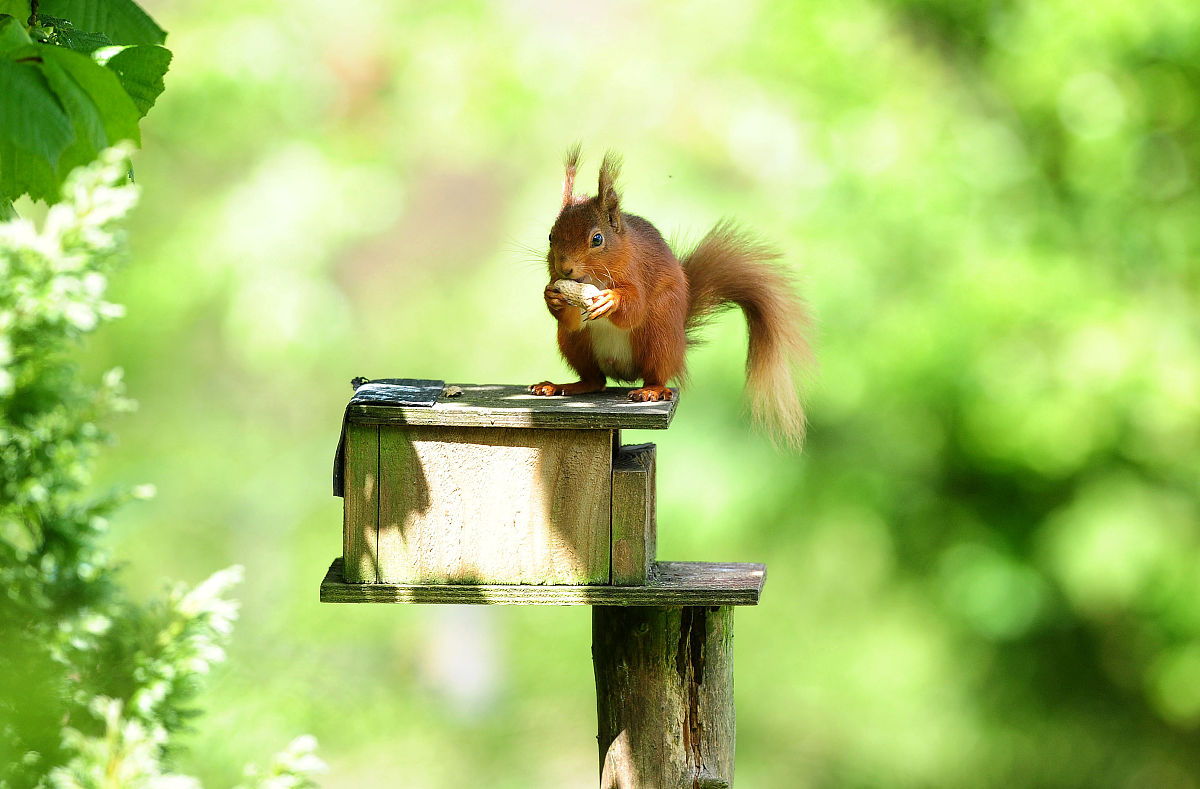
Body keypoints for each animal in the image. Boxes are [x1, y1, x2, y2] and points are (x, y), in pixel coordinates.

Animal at [530, 147, 811, 441]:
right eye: (550, 236)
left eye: (597, 239)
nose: (564, 268)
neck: (593, 278)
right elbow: (571, 320)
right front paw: (552, 297)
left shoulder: (638, 272)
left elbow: (634, 309)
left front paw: (611, 300)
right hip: (575, 344)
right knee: (594, 380)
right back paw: (560, 386)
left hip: (659, 335)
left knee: (658, 373)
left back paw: (651, 391)